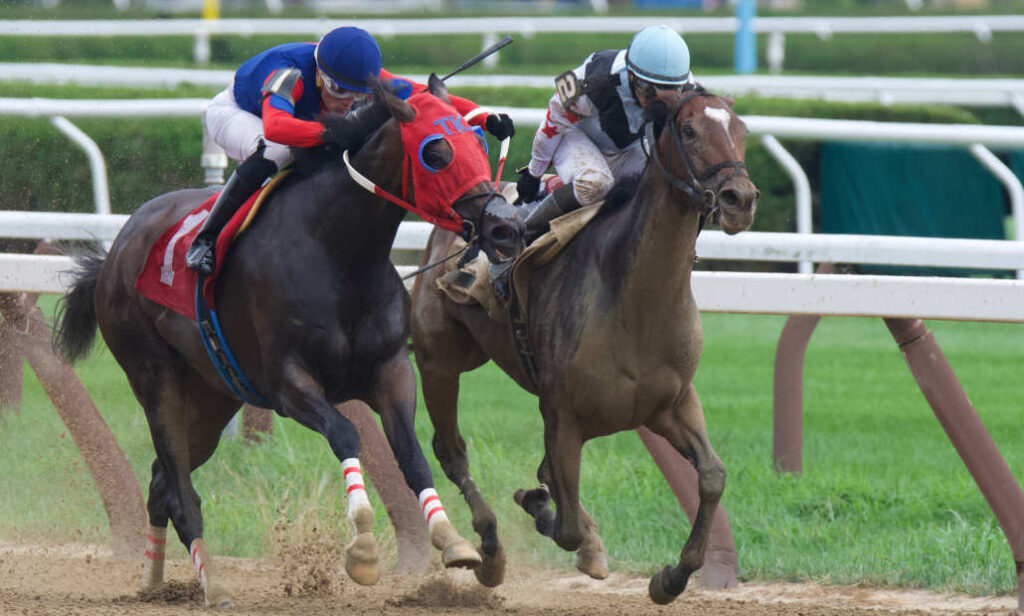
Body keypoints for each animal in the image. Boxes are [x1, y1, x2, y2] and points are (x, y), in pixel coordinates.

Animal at [52, 76, 525, 608]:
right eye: (436, 153)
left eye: (479, 145)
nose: (503, 227)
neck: (338, 254)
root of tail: (118, 247)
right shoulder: (287, 384)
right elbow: (345, 433)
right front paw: (363, 548)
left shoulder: (390, 370)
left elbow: (410, 454)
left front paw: (454, 541)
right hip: (153, 376)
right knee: (179, 486)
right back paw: (212, 585)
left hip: (214, 395)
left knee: (160, 480)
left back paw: (153, 580)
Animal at [409, 86, 759, 603]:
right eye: (690, 130)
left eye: (741, 130)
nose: (741, 199)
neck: (637, 302)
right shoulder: (563, 413)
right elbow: (566, 522)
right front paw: (543, 510)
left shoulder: (670, 403)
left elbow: (713, 477)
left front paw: (670, 578)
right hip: (440, 361)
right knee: (451, 450)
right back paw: (489, 555)